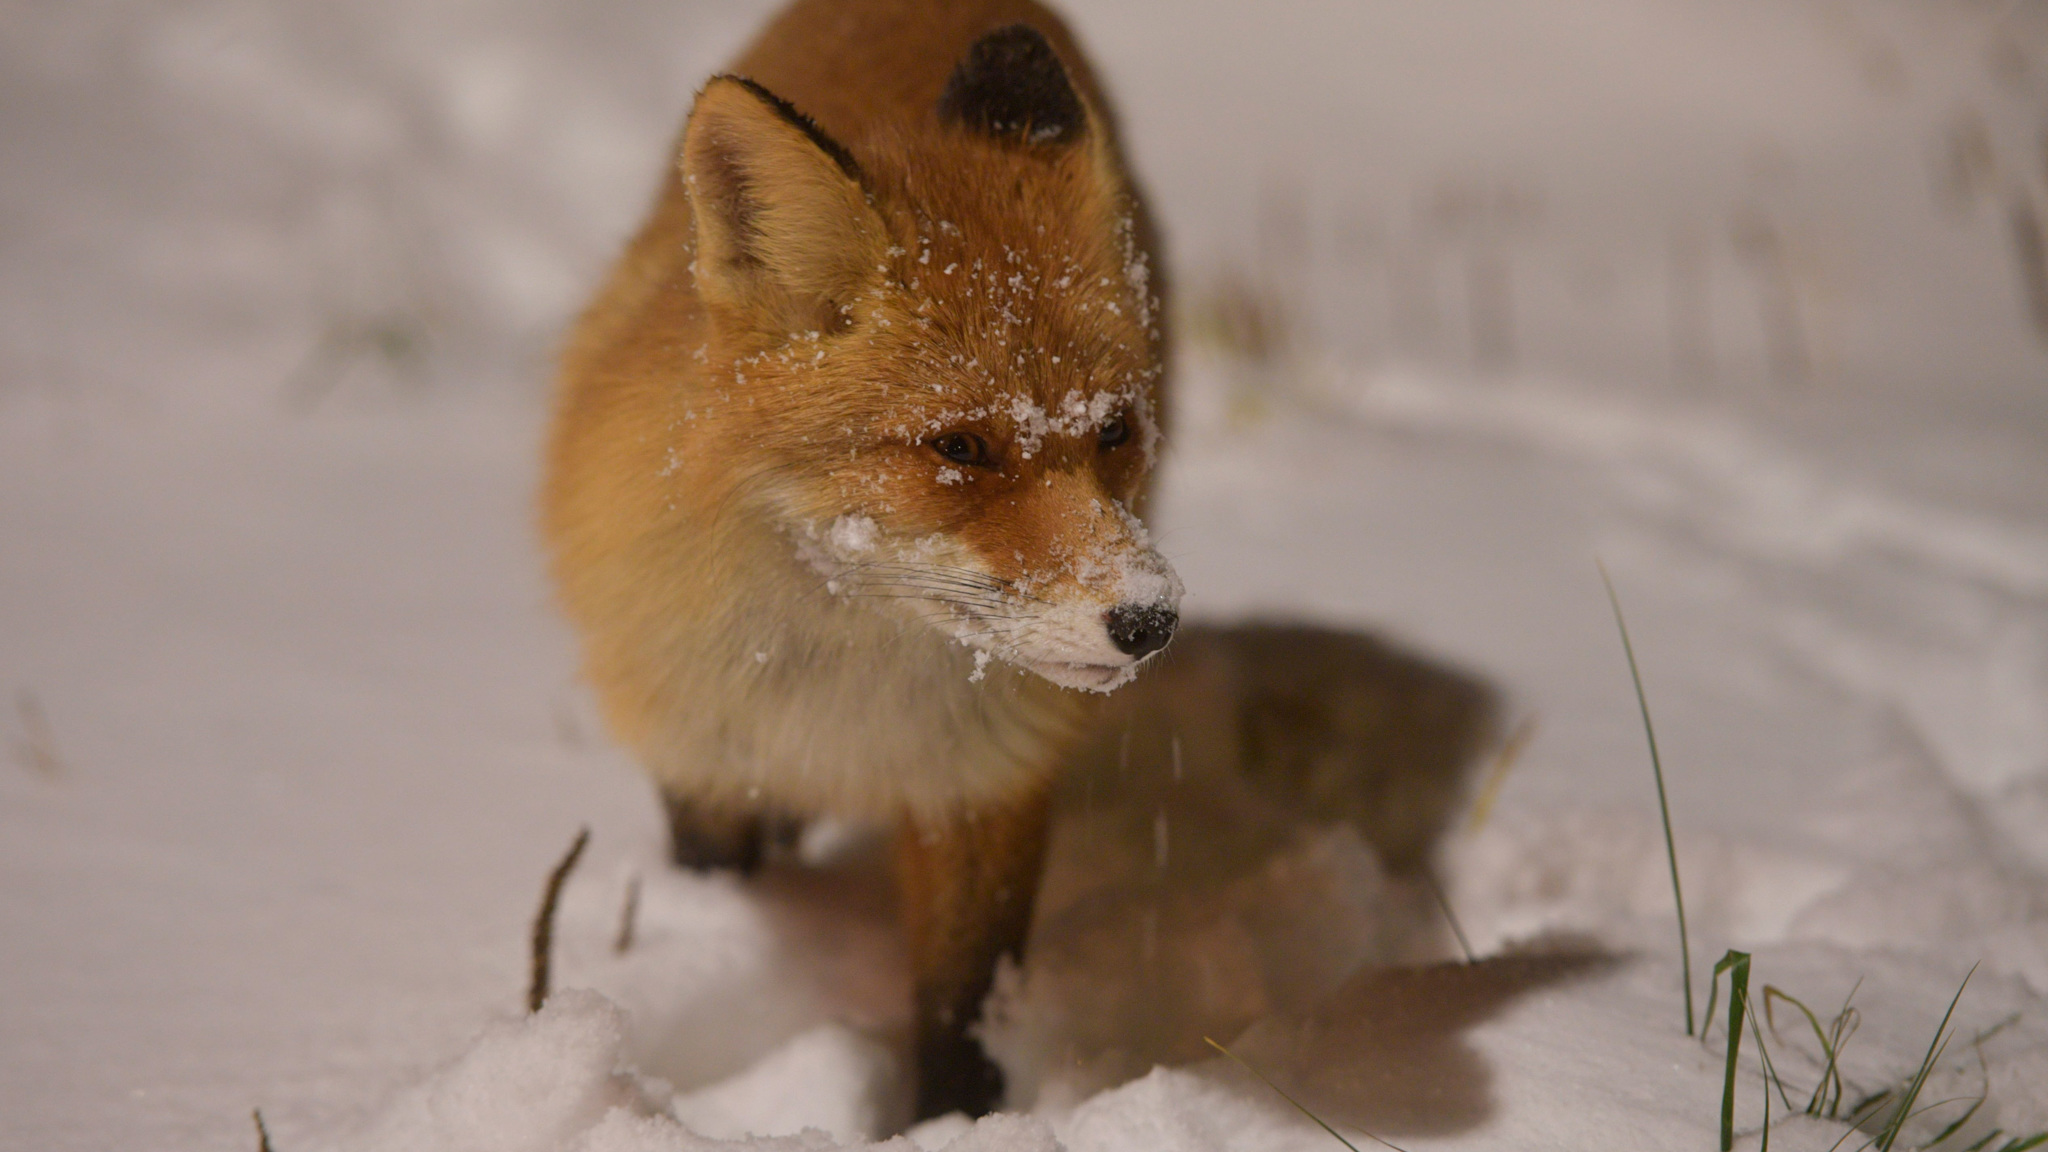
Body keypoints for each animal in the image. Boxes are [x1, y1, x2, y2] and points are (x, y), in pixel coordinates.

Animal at [541, 0, 1179, 1120]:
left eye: (1112, 432)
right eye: (959, 447)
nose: (1148, 621)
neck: (843, 689)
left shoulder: (981, 785)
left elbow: (960, 1013)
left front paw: (955, 1125)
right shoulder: (701, 756)